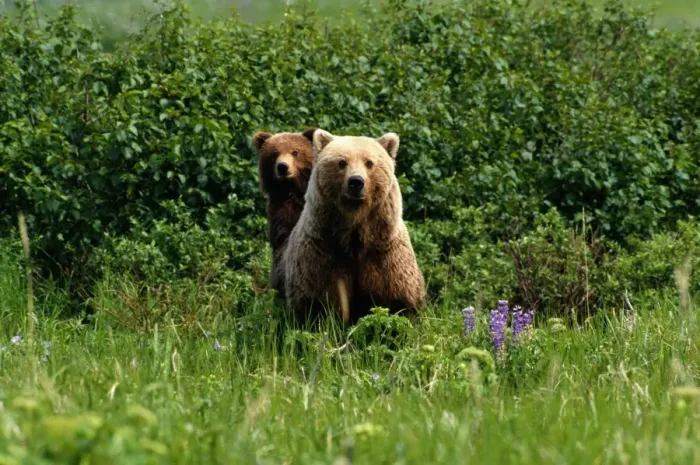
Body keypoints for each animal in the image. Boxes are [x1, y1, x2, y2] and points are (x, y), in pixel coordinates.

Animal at [283, 129, 425, 325]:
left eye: (369, 162)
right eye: (342, 162)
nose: (356, 182)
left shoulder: (384, 253)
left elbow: (399, 298)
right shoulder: (322, 252)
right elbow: (317, 301)